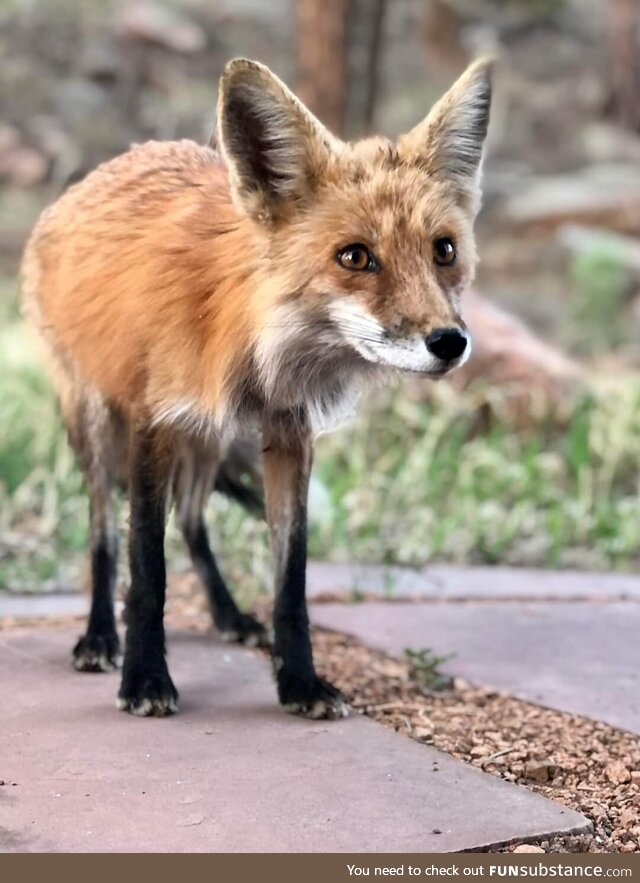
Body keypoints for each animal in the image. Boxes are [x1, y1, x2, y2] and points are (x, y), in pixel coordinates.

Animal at [18, 53, 490, 720]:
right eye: (355, 257)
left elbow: (290, 579)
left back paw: (228, 614)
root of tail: (104, 167)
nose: (449, 342)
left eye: (443, 251)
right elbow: (146, 566)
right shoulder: (153, 422)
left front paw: (299, 682)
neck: (254, 344)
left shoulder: (288, 433)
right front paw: (145, 677)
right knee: (103, 533)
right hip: (97, 423)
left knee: (193, 518)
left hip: (209, 436)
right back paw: (100, 637)